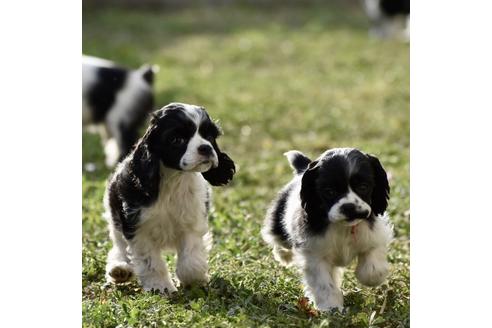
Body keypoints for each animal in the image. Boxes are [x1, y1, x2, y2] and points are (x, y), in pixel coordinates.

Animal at [103, 102, 235, 292]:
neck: (173, 178)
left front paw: (194, 280)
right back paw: (120, 269)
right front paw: (160, 287)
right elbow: (150, 261)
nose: (206, 148)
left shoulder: (191, 222)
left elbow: (190, 258)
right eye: (177, 140)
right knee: (119, 247)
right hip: (115, 219)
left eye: (209, 136)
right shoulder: (137, 226)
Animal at [264, 147, 394, 312]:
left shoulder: (374, 236)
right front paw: (330, 307)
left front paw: (370, 278)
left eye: (363, 187)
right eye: (329, 191)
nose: (349, 207)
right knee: (278, 239)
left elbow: (373, 267)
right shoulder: (315, 256)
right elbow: (324, 284)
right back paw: (283, 255)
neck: (344, 227)